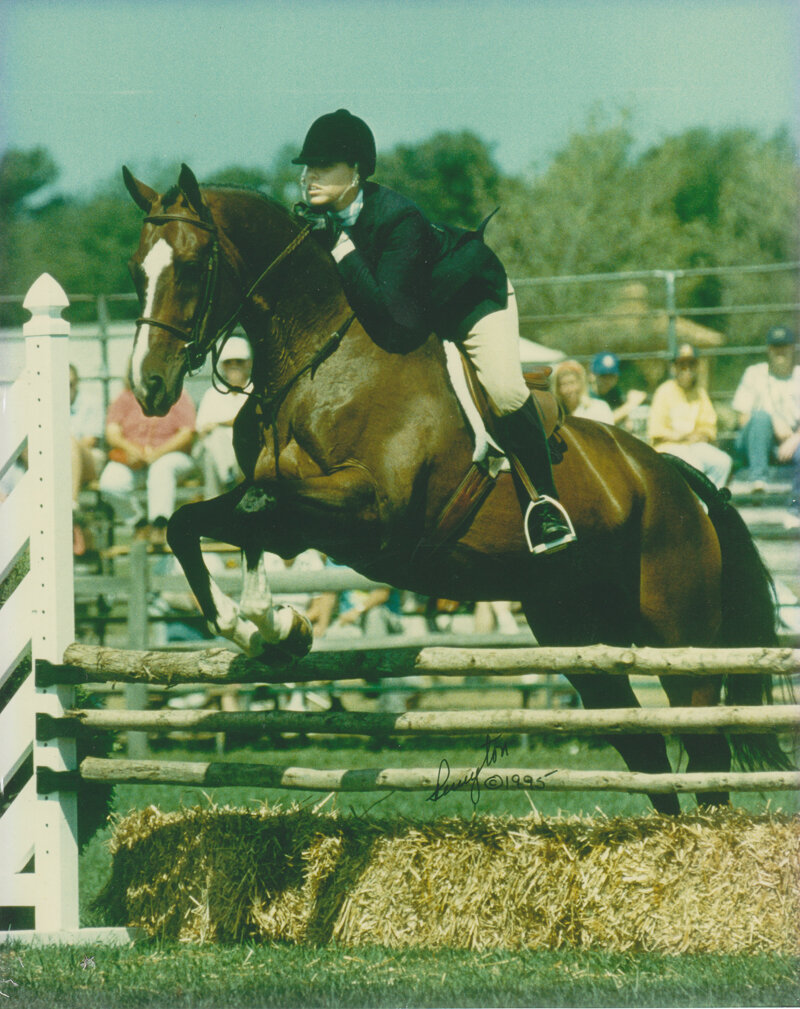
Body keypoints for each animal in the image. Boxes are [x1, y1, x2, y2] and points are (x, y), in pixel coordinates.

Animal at [120, 163, 786, 811]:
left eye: (192, 264)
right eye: (136, 269)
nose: (149, 387)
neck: (316, 360)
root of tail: (673, 476)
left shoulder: (370, 513)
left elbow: (257, 509)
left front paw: (278, 625)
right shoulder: (291, 508)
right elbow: (201, 522)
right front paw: (275, 631)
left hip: (682, 639)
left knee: (706, 754)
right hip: (578, 637)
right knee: (644, 755)